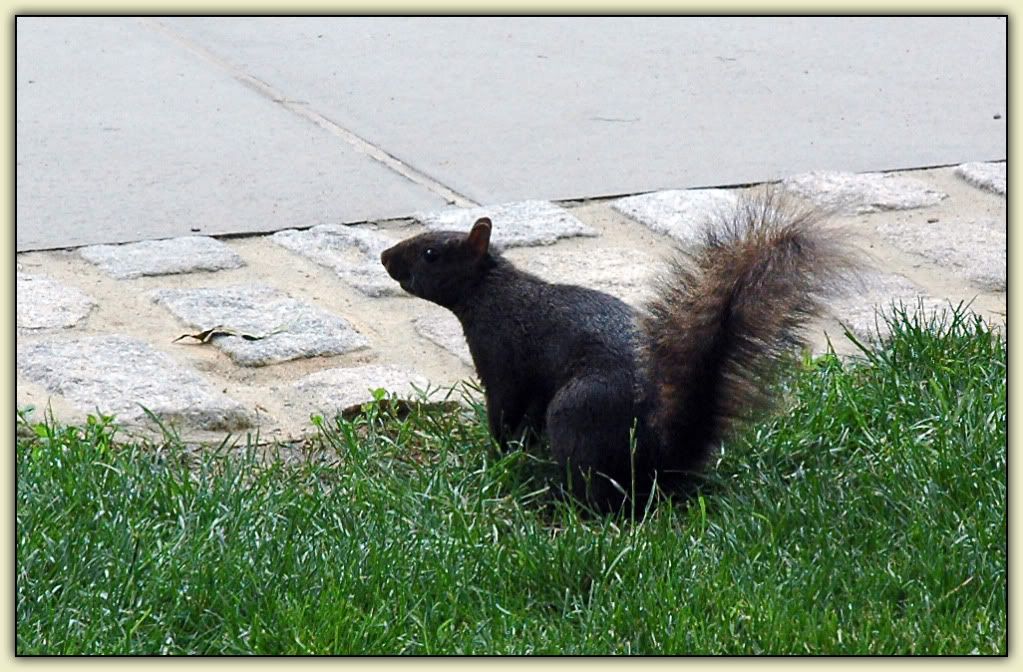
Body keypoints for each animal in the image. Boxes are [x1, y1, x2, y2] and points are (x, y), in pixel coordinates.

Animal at [380, 189, 853, 513]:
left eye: (430, 253)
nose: (385, 256)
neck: (489, 291)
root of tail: (663, 457)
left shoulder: (502, 360)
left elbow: (504, 411)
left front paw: (493, 458)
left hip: (577, 411)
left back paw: (561, 502)